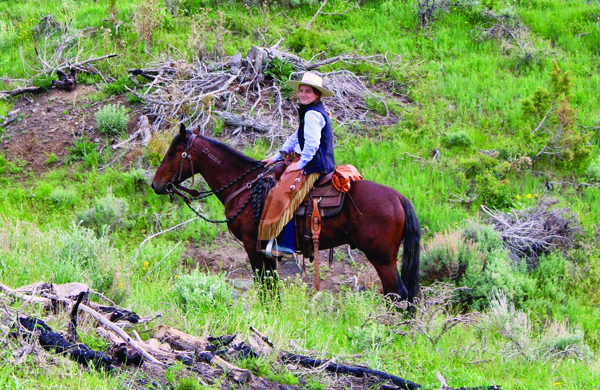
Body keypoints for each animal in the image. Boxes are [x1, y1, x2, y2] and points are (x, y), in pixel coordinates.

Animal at [151, 124, 422, 302]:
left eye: (173, 152)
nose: (156, 184)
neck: (246, 185)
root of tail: (399, 198)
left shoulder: (252, 244)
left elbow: (263, 285)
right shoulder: (266, 249)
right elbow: (271, 286)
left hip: (382, 258)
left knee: (399, 294)